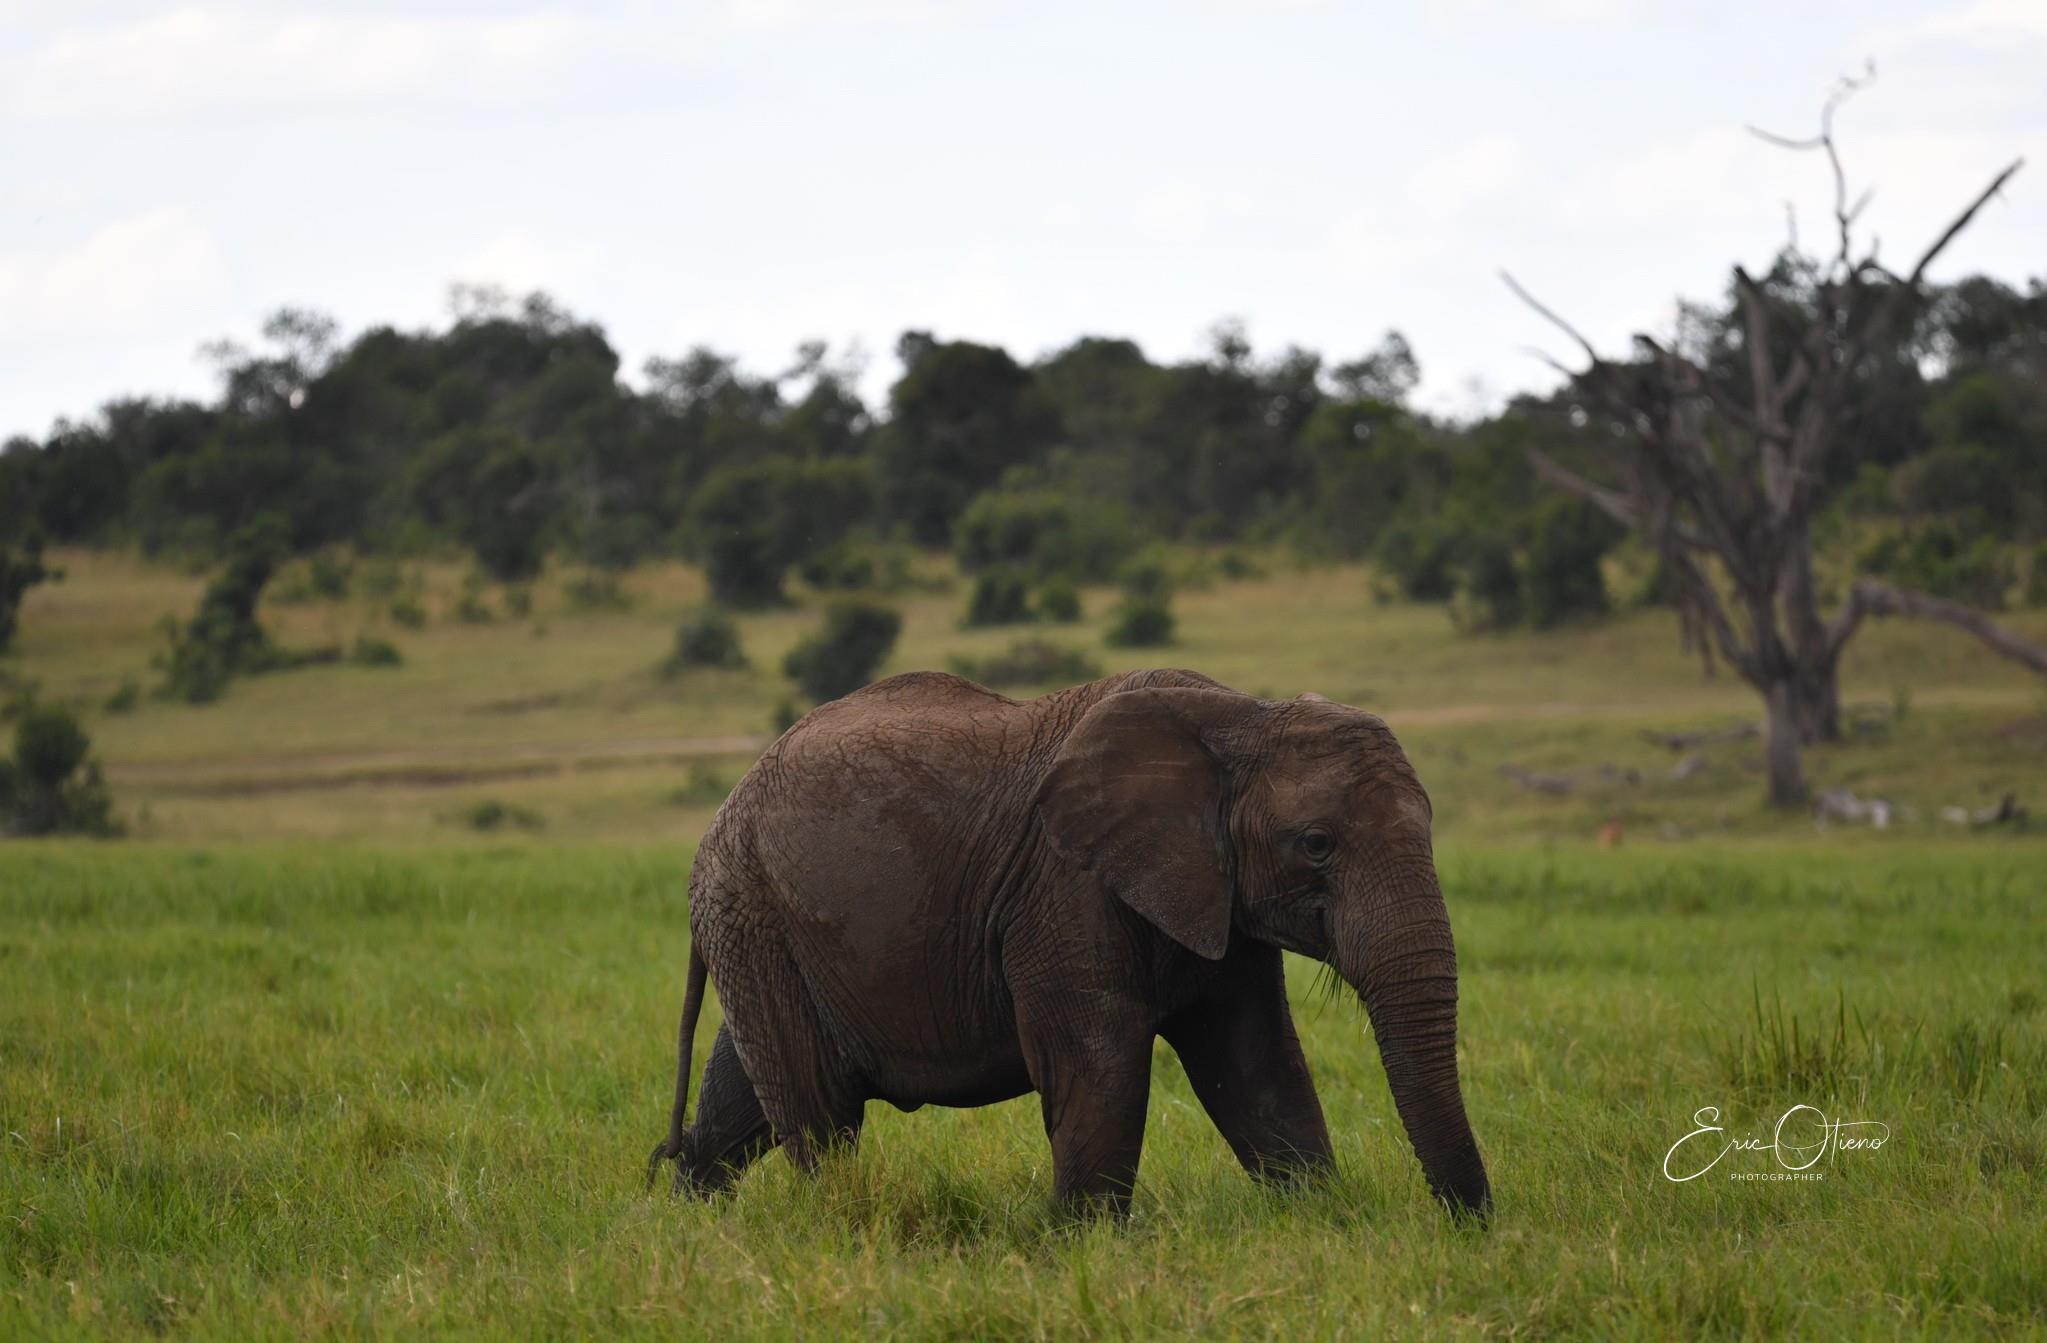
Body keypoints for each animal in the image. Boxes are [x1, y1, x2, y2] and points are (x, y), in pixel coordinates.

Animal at [647, 667, 1490, 1218]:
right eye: (1315, 844)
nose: (1468, 1224)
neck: (1241, 715)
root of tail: (727, 805)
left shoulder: (1214, 893)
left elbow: (1257, 1064)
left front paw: (1318, 1219)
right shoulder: (1063, 887)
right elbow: (1100, 1062)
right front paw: (1086, 1249)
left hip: (759, 927)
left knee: (743, 1099)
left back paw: (690, 1229)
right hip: (754, 907)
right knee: (819, 1111)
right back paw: (837, 1223)